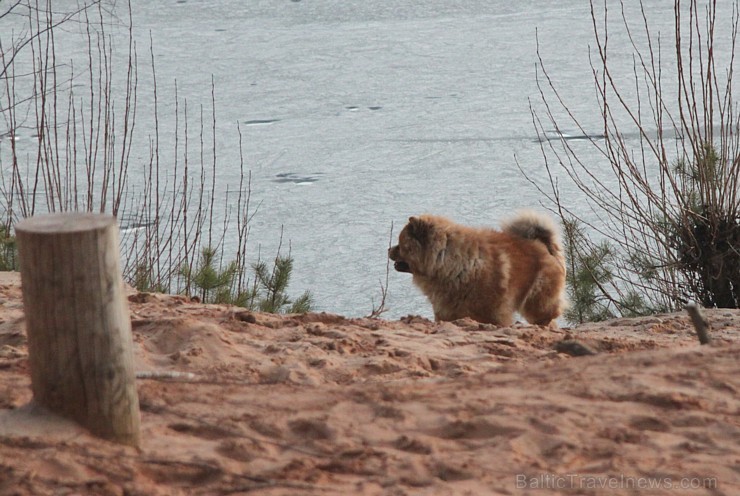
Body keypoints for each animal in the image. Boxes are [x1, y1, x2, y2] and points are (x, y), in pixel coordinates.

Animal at [388, 211, 568, 328]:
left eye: (401, 244)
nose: (388, 249)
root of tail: (542, 244)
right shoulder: (447, 312)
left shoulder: (492, 313)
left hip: (537, 301)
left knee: (546, 318)